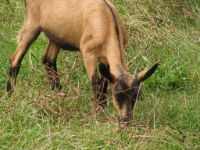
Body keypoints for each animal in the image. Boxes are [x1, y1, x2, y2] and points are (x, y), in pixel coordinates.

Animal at [6, 0, 158, 123]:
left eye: (136, 95)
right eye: (118, 95)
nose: (126, 120)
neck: (107, 22)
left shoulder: (105, 58)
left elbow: (104, 81)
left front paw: (102, 106)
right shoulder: (88, 53)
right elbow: (95, 81)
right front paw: (98, 112)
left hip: (56, 35)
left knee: (48, 59)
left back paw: (59, 95)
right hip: (32, 24)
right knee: (15, 58)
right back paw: (10, 94)